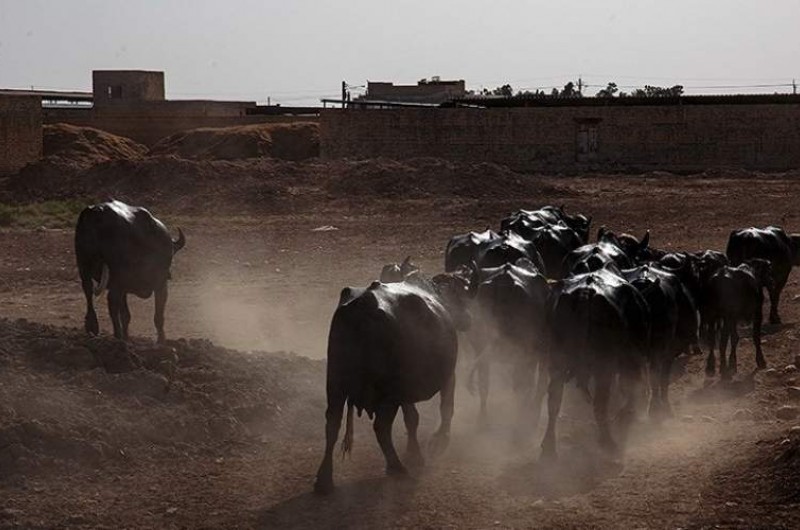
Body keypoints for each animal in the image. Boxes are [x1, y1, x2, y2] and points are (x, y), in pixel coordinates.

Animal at [75, 199, 186, 342]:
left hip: (84, 266)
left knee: (88, 291)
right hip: (117, 275)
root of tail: (97, 211)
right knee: (111, 300)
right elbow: (158, 316)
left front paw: (127, 336)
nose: (169, 274)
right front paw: (161, 340)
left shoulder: (124, 288)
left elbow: (125, 315)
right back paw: (117, 335)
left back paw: (93, 326)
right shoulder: (160, 284)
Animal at [312, 274, 476, 492]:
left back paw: (324, 480)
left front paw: (414, 453)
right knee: (381, 428)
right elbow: (446, 408)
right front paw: (439, 439)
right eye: (460, 296)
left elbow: (412, 419)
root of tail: (363, 306)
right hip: (387, 395)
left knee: (332, 424)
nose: (468, 319)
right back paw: (396, 467)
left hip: (335, 383)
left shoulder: (405, 394)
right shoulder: (448, 377)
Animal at [544, 266, 648, 456]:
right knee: (600, 402)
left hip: (557, 361)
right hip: (604, 365)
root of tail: (586, 292)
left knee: (554, 400)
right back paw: (608, 442)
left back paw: (548, 447)